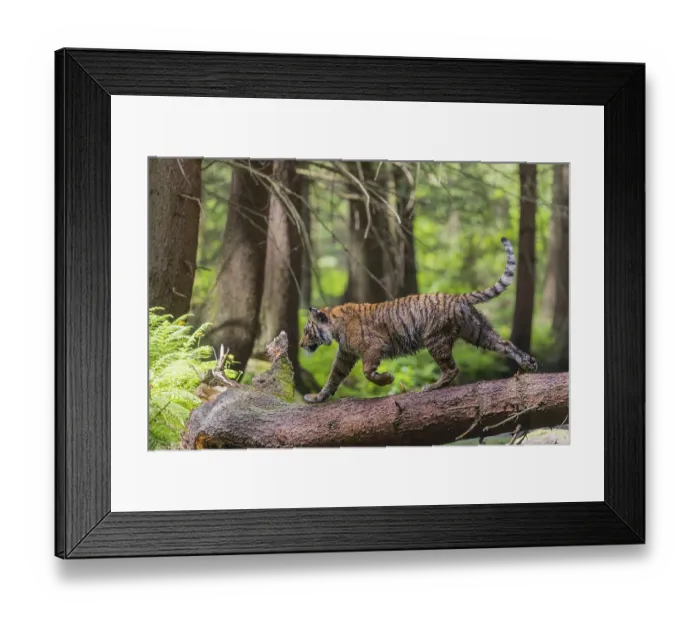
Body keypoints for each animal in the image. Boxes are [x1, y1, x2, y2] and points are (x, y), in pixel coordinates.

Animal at [300, 237, 538, 403]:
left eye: (306, 330)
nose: (301, 344)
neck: (334, 327)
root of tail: (457, 297)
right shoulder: (345, 355)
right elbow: (333, 377)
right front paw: (317, 398)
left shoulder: (374, 347)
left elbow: (367, 372)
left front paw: (387, 379)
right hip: (478, 332)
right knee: (504, 344)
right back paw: (528, 363)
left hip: (435, 340)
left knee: (452, 369)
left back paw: (431, 387)